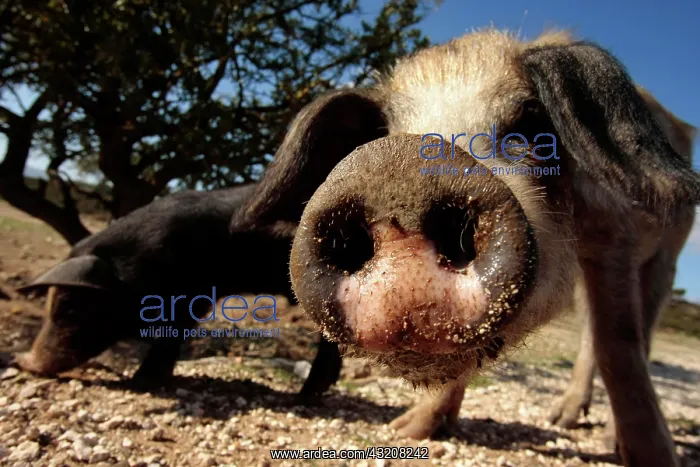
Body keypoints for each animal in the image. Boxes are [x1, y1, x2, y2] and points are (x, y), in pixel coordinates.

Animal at [15, 184, 342, 402]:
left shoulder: (187, 296)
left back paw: (304, 396)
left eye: (70, 307)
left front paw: (141, 382)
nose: (26, 363)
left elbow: (170, 336)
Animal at [228, 29, 700, 466]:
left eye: (532, 124)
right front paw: (404, 431)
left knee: (636, 332)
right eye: (383, 133)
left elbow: (618, 344)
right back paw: (560, 420)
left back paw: (595, 435)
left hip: (668, 255)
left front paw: (655, 459)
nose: (399, 167)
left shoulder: (615, 235)